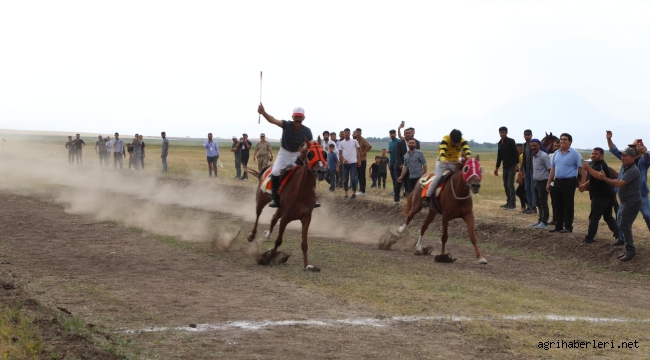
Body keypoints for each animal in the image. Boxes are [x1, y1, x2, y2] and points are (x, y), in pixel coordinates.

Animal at [244, 136, 326, 272]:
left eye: (324, 153)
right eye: (310, 154)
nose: (321, 171)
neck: (301, 191)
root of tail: (267, 168)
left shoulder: (306, 217)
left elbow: (304, 243)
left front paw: (307, 265)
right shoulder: (286, 217)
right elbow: (278, 241)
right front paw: (268, 258)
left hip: (280, 209)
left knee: (273, 218)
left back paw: (267, 235)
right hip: (261, 200)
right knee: (258, 214)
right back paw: (252, 235)